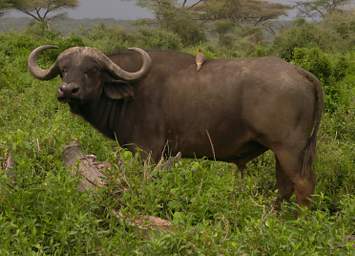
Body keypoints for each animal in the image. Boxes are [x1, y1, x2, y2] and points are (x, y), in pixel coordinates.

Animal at [27, 45, 324, 206]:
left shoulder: (148, 152)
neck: (132, 91)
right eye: (64, 70)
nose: (68, 90)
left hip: (289, 149)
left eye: (91, 70)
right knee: (284, 187)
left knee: (303, 185)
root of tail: (300, 72)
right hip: (280, 152)